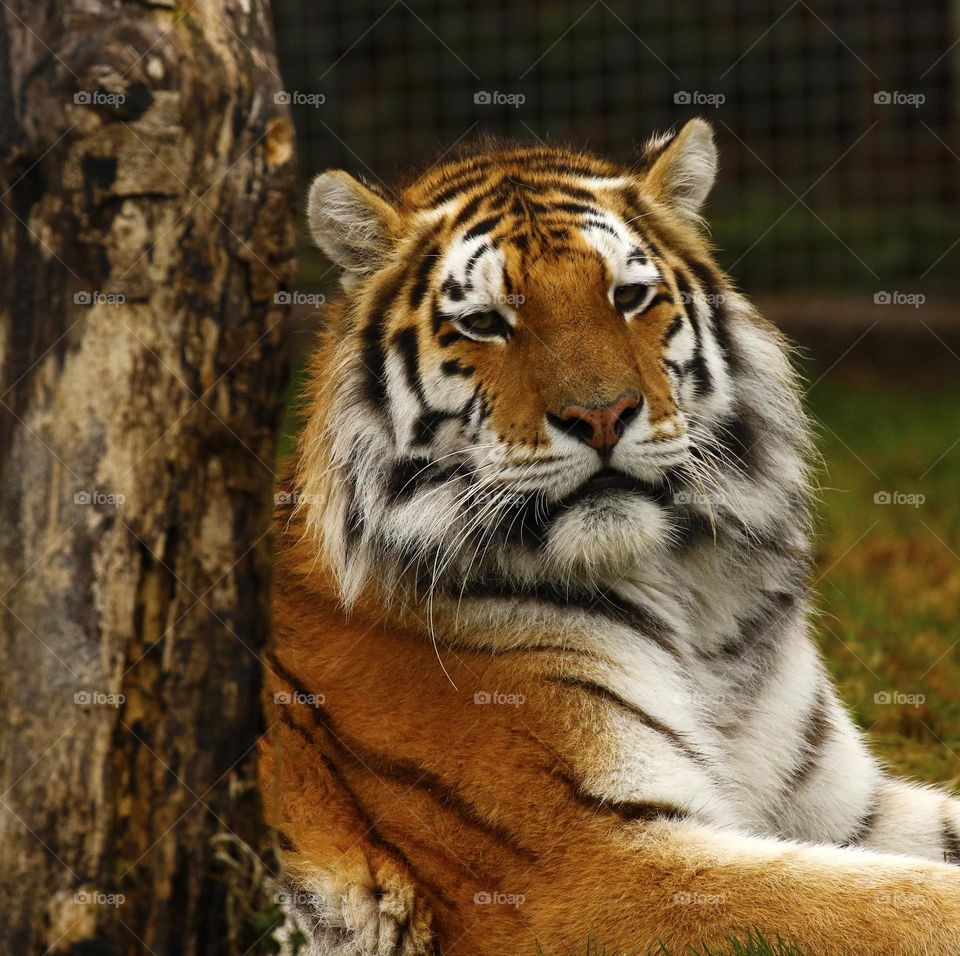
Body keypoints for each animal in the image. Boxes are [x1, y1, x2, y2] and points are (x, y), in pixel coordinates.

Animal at [260, 118, 960, 955]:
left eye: (628, 297)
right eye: (487, 322)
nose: (601, 415)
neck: (695, 606)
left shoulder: (841, 805)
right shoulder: (587, 871)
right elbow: (897, 904)